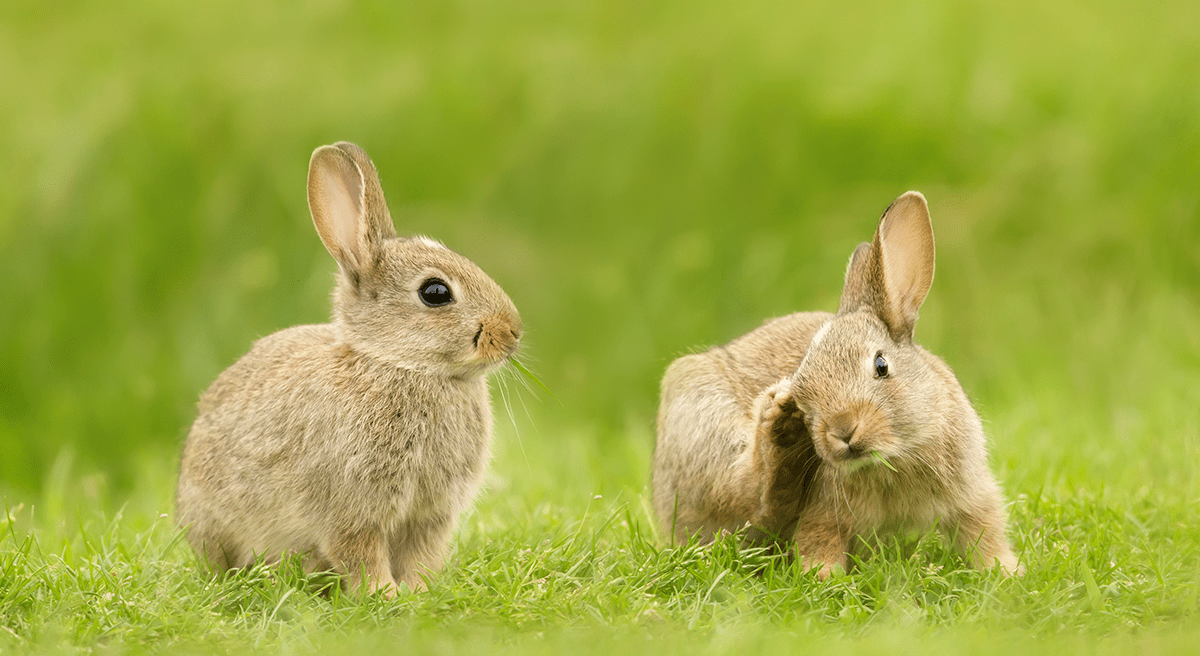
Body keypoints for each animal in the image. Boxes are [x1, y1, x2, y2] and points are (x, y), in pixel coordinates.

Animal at [175, 142, 523, 594]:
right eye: (435, 292)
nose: (513, 331)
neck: (399, 364)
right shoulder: (352, 507)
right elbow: (360, 552)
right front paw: (383, 594)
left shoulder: (430, 514)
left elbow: (422, 554)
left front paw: (418, 592)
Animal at [652, 190, 1017, 580]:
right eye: (803, 390)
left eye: (881, 365)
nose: (842, 431)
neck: (894, 457)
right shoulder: (824, 512)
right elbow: (818, 539)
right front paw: (824, 577)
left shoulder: (972, 493)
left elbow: (983, 530)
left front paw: (1005, 571)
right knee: (750, 496)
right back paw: (779, 431)